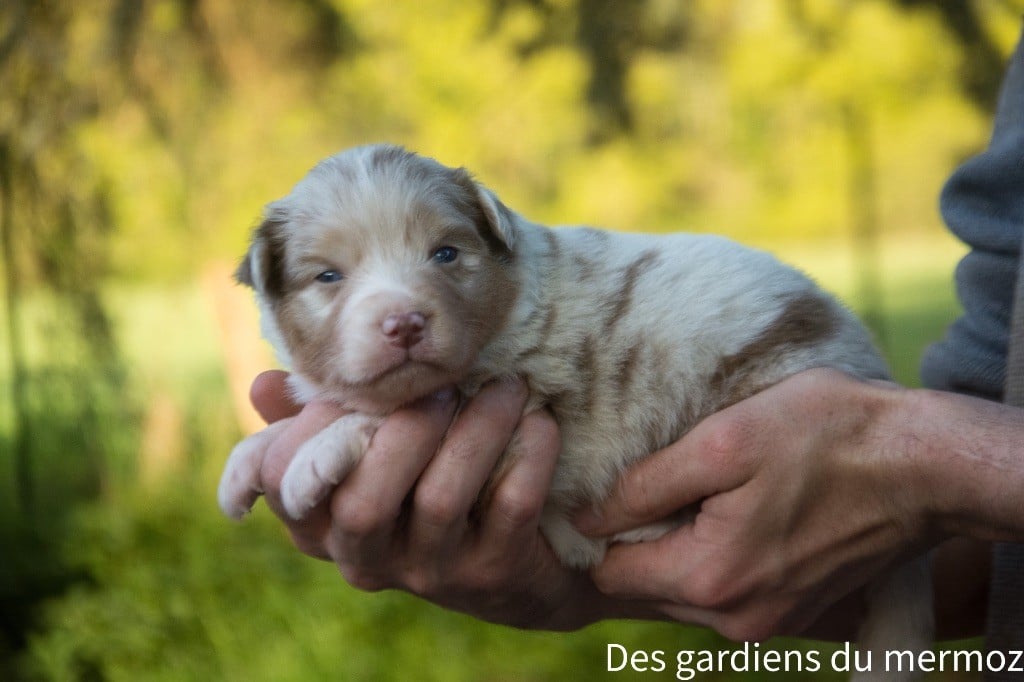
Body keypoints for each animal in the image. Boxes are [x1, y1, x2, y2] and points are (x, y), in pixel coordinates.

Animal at [220, 143, 933, 675]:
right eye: (328, 277)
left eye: (445, 254)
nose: (405, 323)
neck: (506, 304)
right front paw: (246, 463)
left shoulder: (519, 395)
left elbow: (386, 416)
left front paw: (311, 457)